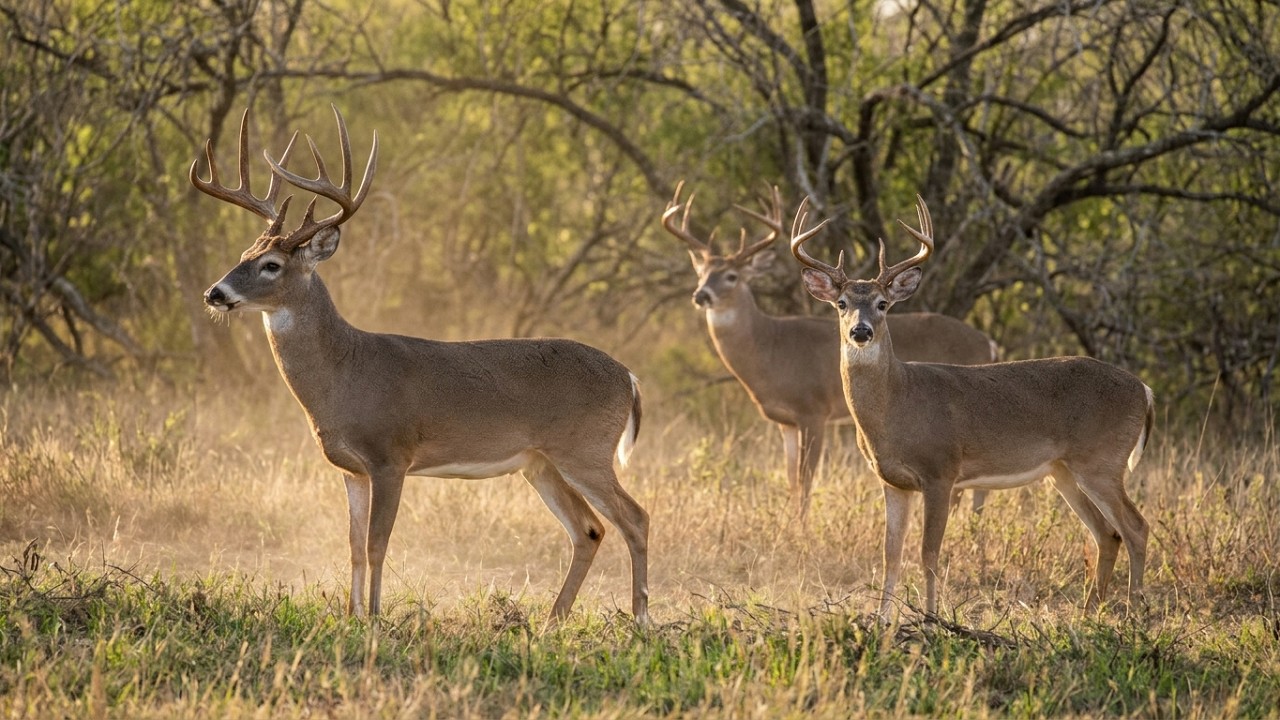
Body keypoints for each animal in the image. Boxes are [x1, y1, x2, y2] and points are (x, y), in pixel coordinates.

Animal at [191, 106, 650, 624]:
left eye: (271, 264)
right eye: (244, 254)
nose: (215, 293)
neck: (343, 374)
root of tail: (629, 377)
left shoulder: (391, 455)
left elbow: (378, 544)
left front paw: (374, 616)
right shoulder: (351, 468)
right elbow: (353, 545)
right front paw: (352, 615)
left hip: (585, 449)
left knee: (634, 518)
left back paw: (641, 617)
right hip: (541, 463)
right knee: (588, 529)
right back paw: (553, 619)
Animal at [662, 183, 997, 521]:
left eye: (732, 276)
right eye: (701, 273)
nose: (701, 295)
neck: (769, 348)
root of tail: (988, 342)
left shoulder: (813, 409)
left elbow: (805, 478)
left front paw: (801, 523)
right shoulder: (785, 421)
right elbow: (791, 478)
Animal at [789, 194, 1153, 619]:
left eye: (882, 304)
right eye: (842, 303)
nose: (860, 331)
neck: (897, 404)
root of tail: (1144, 390)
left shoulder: (941, 472)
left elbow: (928, 554)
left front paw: (931, 618)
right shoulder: (892, 481)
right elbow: (889, 555)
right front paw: (882, 620)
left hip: (1101, 461)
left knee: (1135, 527)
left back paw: (1135, 613)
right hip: (1064, 470)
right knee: (1107, 533)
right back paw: (1088, 612)